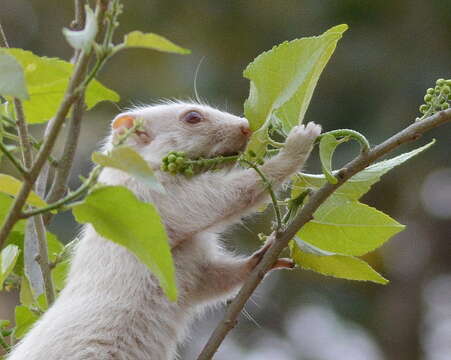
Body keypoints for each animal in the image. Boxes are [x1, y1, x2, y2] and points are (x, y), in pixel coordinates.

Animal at [7, 101, 322, 360]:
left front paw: (266, 255)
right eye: (192, 117)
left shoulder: (195, 267)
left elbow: (217, 280)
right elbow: (227, 197)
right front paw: (299, 143)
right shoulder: (158, 200)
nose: (247, 127)